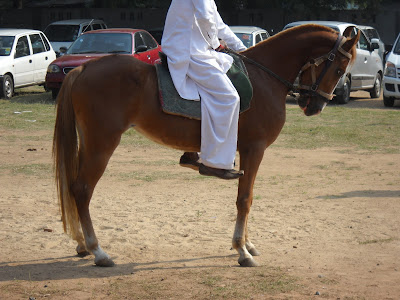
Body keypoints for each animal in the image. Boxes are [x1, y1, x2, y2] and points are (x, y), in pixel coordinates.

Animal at [52, 23, 360, 268]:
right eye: (339, 68)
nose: (316, 106)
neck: (264, 77)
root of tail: (84, 67)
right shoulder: (254, 149)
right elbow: (245, 199)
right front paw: (241, 250)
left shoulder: (247, 151)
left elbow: (247, 197)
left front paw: (247, 243)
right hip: (102, 144)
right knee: (82, 189)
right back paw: (98, 251)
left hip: (88, 143)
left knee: (75, 188)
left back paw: (82, 244)